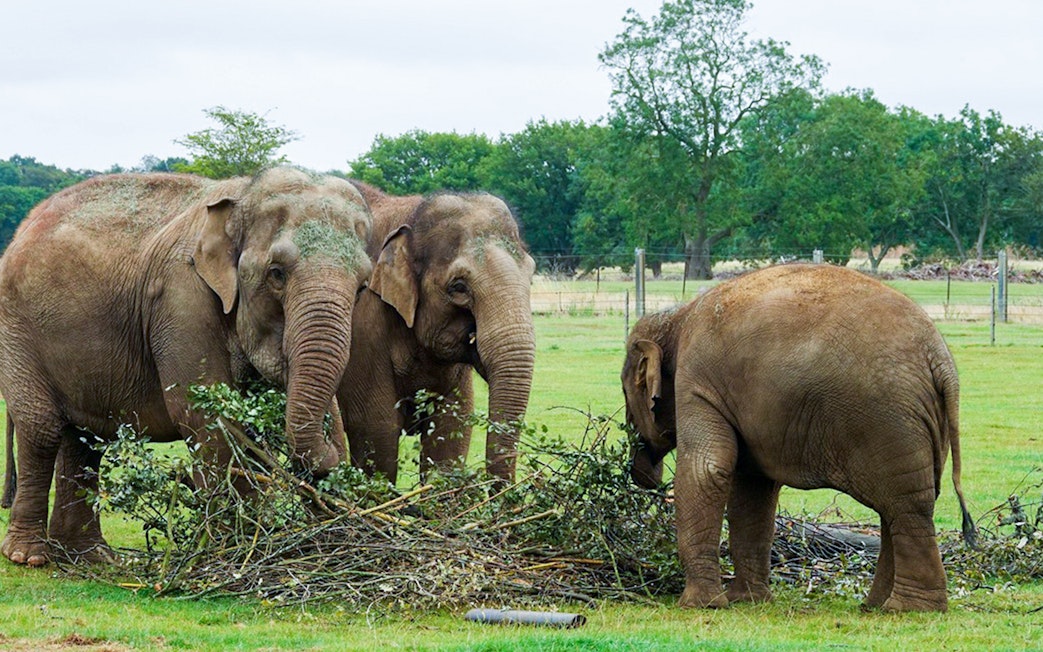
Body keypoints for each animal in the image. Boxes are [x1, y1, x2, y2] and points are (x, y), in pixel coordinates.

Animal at [0, 167, 373, 566]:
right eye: (276, 273)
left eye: (362, 287)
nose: (329, 462)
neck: (243, 193)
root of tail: (23, 228)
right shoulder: (181, 297)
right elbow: (203, 415)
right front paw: (236, 547)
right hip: (16, 331)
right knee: (42, 429)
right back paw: (28, 556)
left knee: (85, 439)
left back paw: (91, 557)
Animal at [337, 181, 535, 483]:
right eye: (458, 287)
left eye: (531, 276)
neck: (411, 212)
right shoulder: (362, 326)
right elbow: (375, 430)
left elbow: (451, 431)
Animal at [621, 264, 976, 612]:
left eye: (626, 392)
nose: (641, 472)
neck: (678, 319)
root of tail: (940, 359)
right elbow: (753, 487)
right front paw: (747, 601)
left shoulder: (696, 380)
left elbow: (707, 470)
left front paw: (701, 605)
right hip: (921, 423)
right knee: (902, 504)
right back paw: (878, 606)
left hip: (889, 419)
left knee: (907, 506)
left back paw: (909, 608)